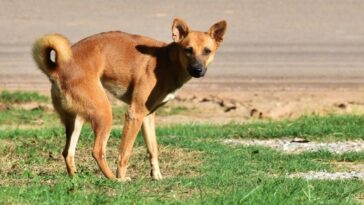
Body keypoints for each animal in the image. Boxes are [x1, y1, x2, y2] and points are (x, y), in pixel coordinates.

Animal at [32, 18, 225, 181]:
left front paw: (157, 176)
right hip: (104, 113)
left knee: (68, 152)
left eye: (207, 51)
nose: (198, 70)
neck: (167, 61)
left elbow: (153, 149)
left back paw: (75, 178)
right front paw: (123, 176)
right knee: (97, 151)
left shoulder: (147, 117)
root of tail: (57, 68)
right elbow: (125, 153)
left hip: (77, 119)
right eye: (188, 50)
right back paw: (114, 180)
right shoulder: (134, 114)